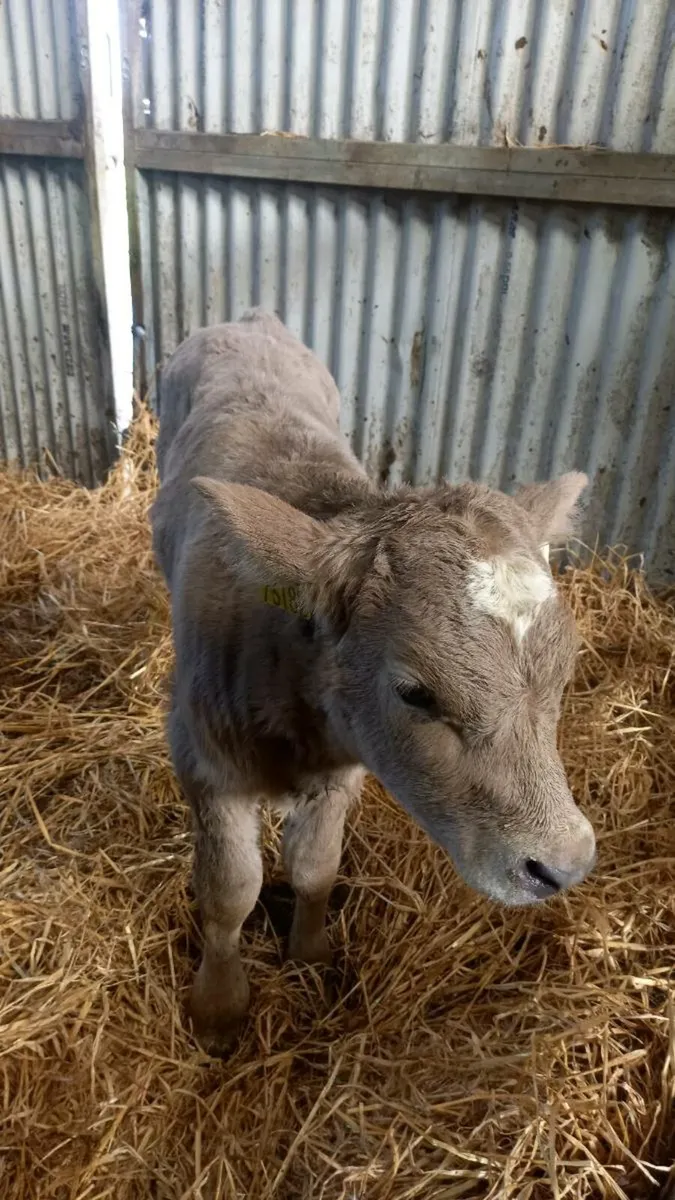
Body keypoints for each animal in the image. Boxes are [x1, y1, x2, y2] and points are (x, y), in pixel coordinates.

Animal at [151, 309, 595, 1053]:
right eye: (415, 693)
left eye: (564, 674)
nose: (561, 864)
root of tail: (249, 319)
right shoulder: (202, 758)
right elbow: (229, 890)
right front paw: (218, 1009)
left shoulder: (342, 771)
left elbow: (316, 867)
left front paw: (311, 955)